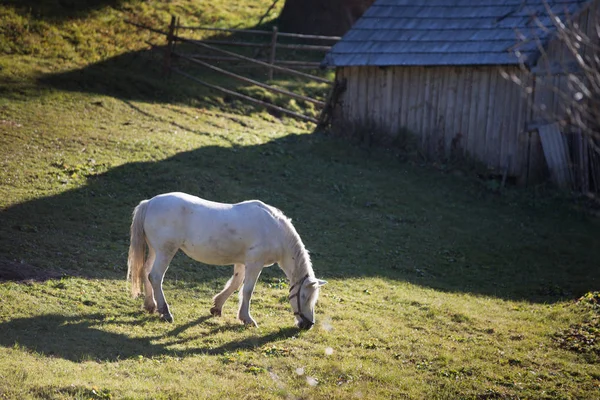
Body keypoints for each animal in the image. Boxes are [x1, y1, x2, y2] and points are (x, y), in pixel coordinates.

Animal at [124, 192, 326, 330]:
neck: (274, 229)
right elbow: (247, 290)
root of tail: (149, 203)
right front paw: (247, 318)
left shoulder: (242, 263)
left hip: (154, 250)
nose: (308, 324)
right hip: (165, 251)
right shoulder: (255, 263)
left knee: (145, 272)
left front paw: (217, 307)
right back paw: (165, 311)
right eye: (304, 296)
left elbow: (235, 283)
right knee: (156, 277)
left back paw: (150, 305)